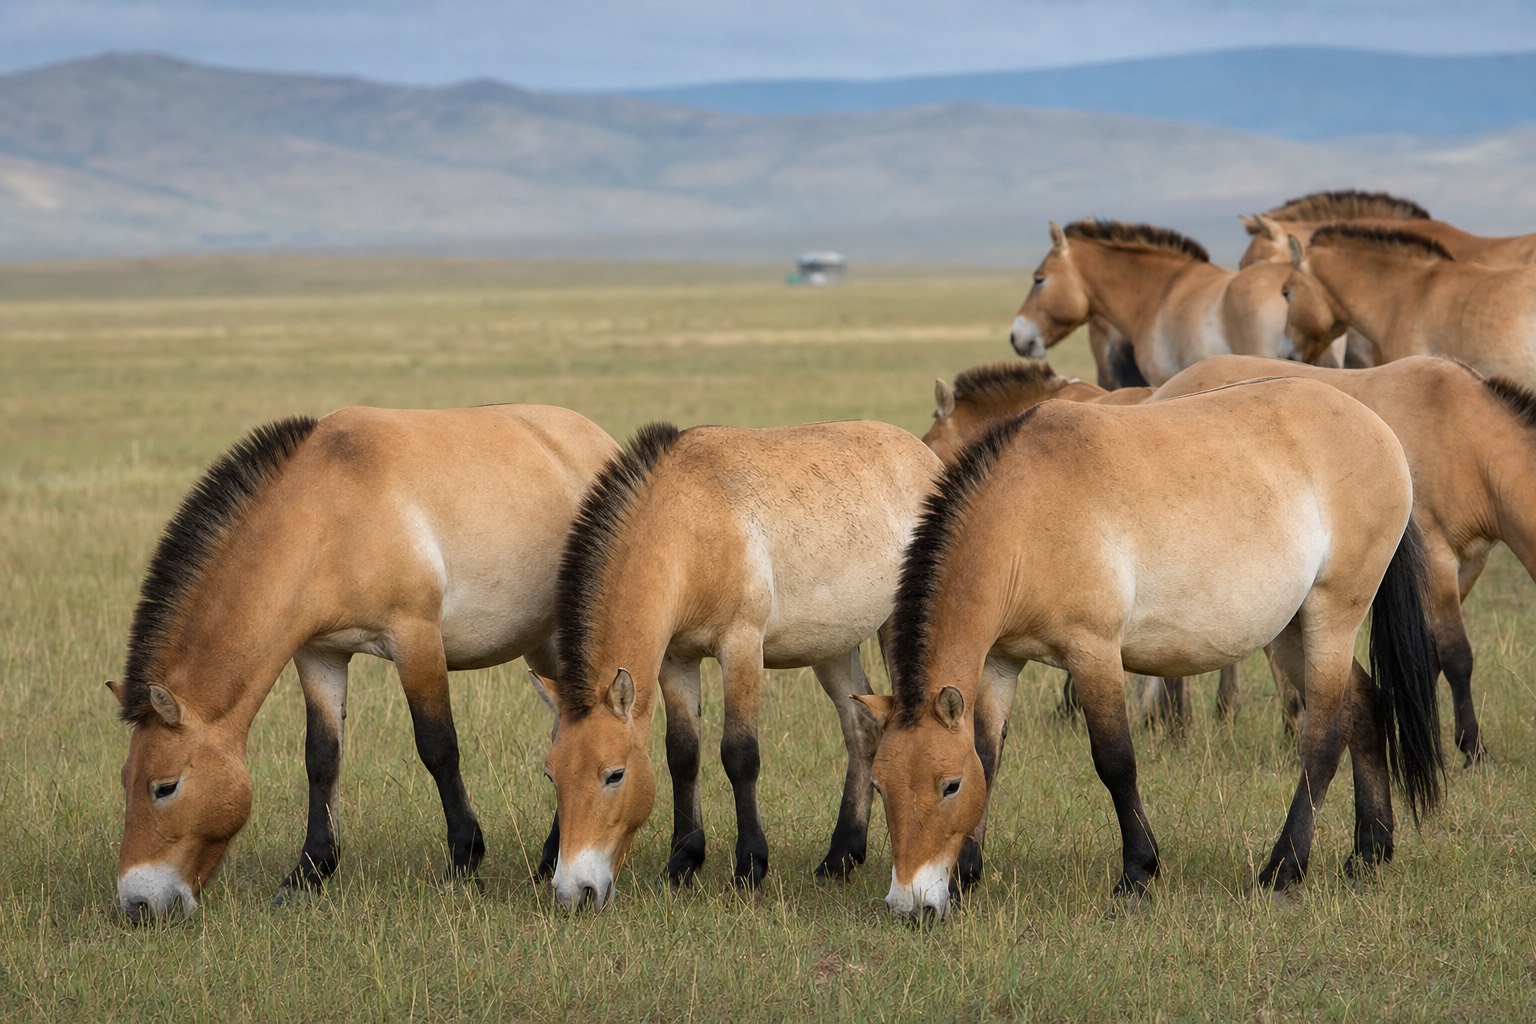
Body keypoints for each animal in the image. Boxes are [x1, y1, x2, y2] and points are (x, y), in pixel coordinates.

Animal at [107, 404, 618, 922]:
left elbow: (438, 748)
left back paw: (550, 859)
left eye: (165, 787)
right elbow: (322, 757)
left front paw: (464, 862)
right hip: (543, 644)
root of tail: (601, 440)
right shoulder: (320, 654)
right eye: (126, 781)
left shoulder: (415, 639)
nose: (137, 902)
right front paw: (308, 873)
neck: (329, 519)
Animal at [538, 420, 939, 911]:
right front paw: (683, 862)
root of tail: (923, 454)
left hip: (896, 628)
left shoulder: (742, 646)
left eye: (615, 775)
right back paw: (841, 857)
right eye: (551, 774)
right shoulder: (676, 659)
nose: (573, 892)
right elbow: (682, 754)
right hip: (833, 648)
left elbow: (740, 754)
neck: (689, 528)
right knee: (861, 728)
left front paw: (749, 867)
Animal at [855, 377, 1444, 922]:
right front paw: (968, 874)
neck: (1024, 517)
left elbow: (1115, 761)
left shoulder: (1093, 653)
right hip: (1292, 631)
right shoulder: (1001, 662)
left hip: (1332, 617)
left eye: (949, 787)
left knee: (1322, 739)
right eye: (880, 788)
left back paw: (1284, 867)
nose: (909, 904)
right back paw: (1370, 852)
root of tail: (1379, 431)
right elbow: (988, 753)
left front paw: (1138, 872)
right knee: (1365, 708)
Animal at [1151, 353, 1536, 763]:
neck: (1463, 440)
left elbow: (1427, 654)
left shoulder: (1468, 566)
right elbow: (1456, 655)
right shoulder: (1438, 561)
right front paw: (1473, 748)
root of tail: (1161, 393)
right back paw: (1179, 729)